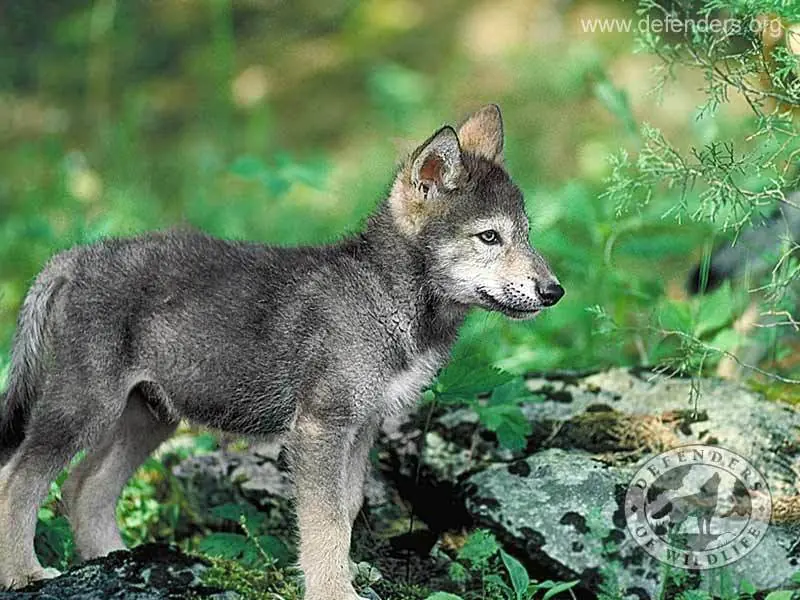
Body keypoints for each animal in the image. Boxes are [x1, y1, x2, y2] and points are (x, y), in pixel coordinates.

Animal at [0, 105, 563, 598]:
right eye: (489, 237)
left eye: (527, 236)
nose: (553, 291)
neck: (384, 297)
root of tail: (76, 256)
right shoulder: (320, 428)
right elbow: (325, 520)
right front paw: (335, 591)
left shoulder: (363, 425)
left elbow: (347, 507)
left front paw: (349, 574)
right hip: (85, 404)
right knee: (18, 479)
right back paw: (24, 573)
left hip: (149, 414)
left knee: (84, 486)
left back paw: (113, 560)